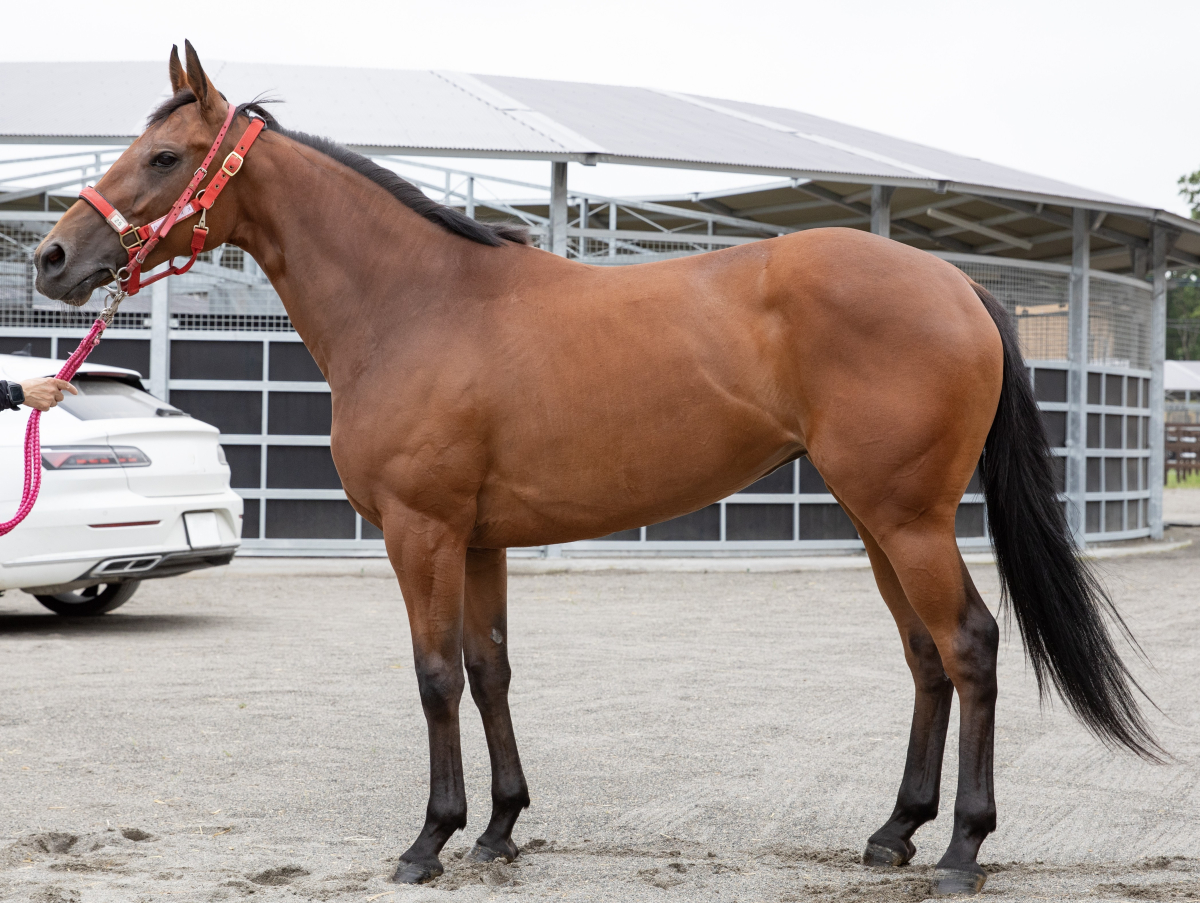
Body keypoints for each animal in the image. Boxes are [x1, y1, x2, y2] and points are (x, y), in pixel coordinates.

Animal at [33, 42, 1159, 896]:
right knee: (926, 657)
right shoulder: (477, 539)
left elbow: (434, 675)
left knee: (968, 646)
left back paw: (963, 847)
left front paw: (428, 839)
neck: (418, 301)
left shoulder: (422, 531)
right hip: (877, 517)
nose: (50, 259)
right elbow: (490, 668)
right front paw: (499, 828)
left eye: (165, 155)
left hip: (910, 515)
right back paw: (894, 832)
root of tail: (954, 283)